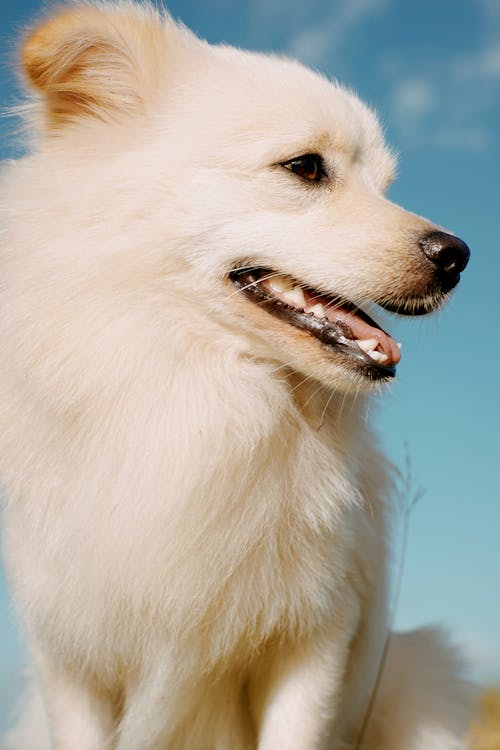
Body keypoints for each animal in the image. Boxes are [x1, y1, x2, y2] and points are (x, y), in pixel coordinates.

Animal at [0, 2, 472, 748]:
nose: (458, 255)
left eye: (387, 187)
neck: (205, 392)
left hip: (427, 671)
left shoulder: (315, 640)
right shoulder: (66, 655)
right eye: (305, 168)